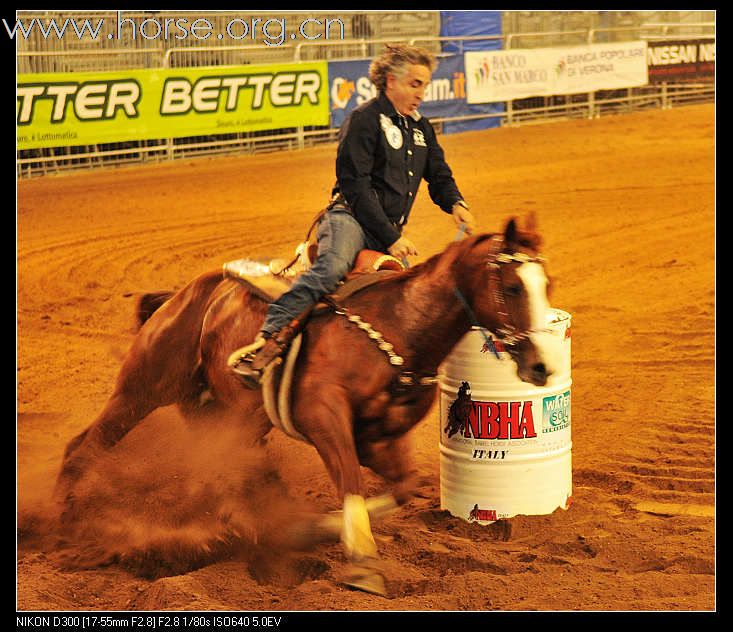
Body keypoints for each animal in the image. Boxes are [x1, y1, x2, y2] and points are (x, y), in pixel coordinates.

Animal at [54, 215, 556, 596]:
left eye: (546, 284)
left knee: (223, 473)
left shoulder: (380, 437)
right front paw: (363, 564)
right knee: (84, 446)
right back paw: (64, 525)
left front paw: (312, 530)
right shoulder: (322, 418)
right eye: (513, 287)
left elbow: (401, 488)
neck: (398, 324)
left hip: (231, 417)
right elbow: (351, 482)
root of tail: (187, 292)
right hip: (142, 387)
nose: (542, 365)